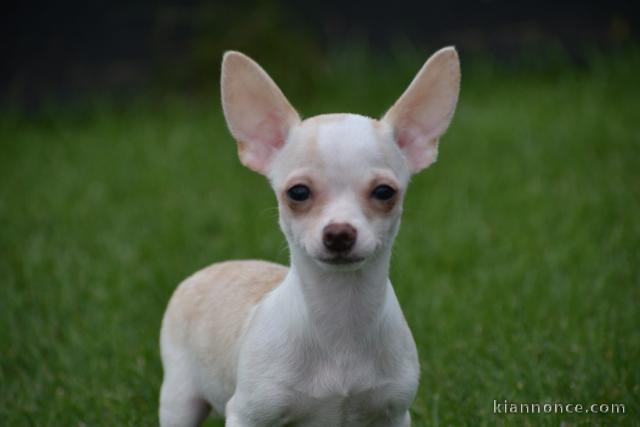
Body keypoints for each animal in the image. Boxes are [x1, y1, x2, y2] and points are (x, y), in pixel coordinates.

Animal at [160, 47, 460, 427]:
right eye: (298, 192)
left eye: (385, 192)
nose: (339, 233)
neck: (341, 320)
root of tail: (215, 267)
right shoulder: (247, 413)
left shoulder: (393, 413)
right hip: (179, 397)